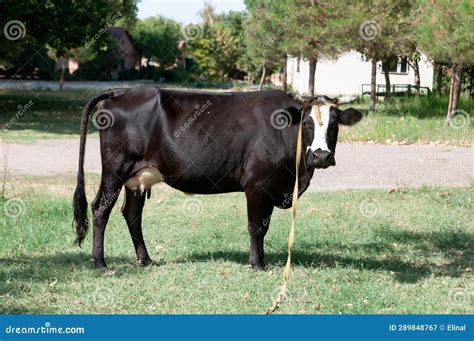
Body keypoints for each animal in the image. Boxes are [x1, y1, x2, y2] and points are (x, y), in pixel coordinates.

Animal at [73, 87, 362, 268]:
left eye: (335, 123)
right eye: (306, 123)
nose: (321, 156)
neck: (296, 176)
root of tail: (122, 92)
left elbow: (263, 226)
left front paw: (262, 260)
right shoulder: (257, 184)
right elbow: (257, 227)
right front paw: (257, 264)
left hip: (138, 176)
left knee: (132, 213)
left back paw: (145, 260)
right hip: (116, 167)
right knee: (101, 208)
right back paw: (99, 261)